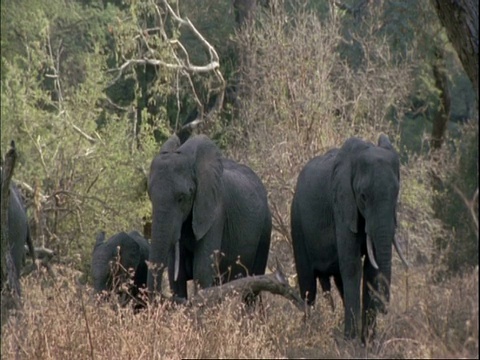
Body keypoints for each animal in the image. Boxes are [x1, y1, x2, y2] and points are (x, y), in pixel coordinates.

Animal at [146, 134, 272, 300]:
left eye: (182, 198)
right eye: (150, 197)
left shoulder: (216, 211)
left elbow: (202, 271)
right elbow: (177, 277)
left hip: (265, 230)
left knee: (251, 293)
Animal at [288, 135, 408, 344]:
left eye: (396, 194)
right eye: (363, 196)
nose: (385, 308)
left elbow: (370, 269)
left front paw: (368, 344)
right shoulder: (342, 206)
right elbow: (352, 266)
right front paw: (350, 342)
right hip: (296, 222)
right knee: (308, 286)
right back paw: (308, 331)